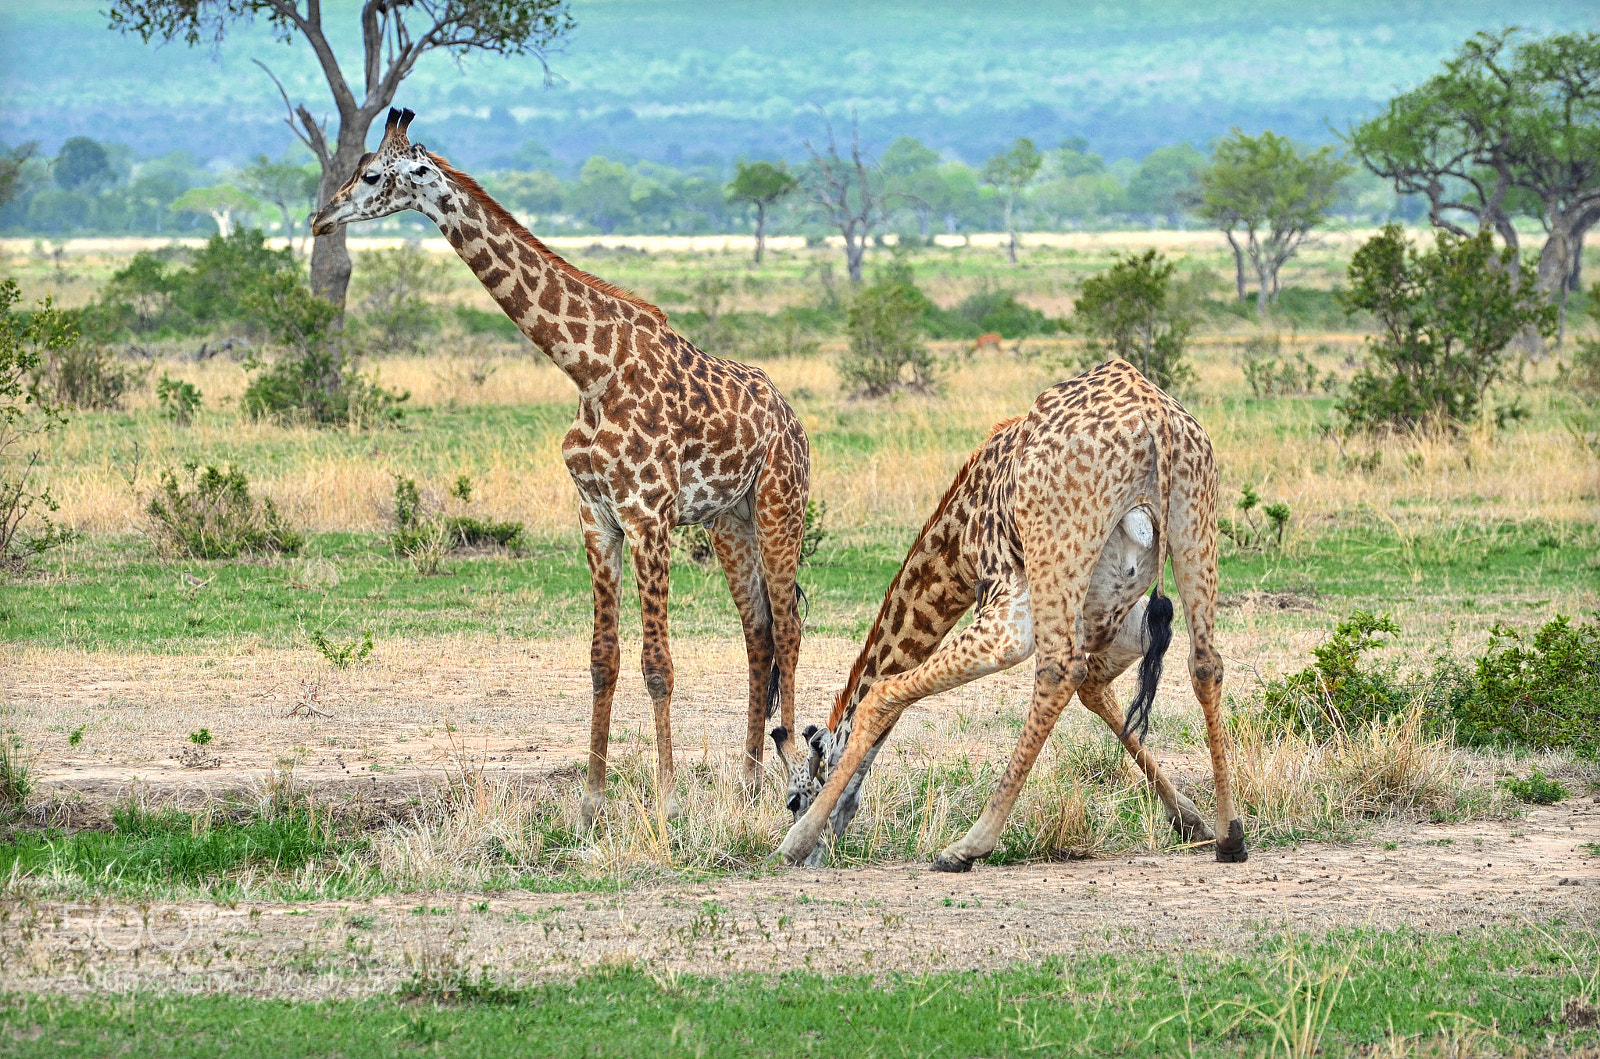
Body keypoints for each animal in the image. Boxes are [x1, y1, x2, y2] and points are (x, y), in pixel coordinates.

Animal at [312, 109, 811, 824]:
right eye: (355, 169)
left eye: (374, 174)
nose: (320, 218)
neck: (588, 369)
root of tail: (793, 420)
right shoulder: (596, 518)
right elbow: (604, 658)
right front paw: (593, 800)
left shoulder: (648, 516)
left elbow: (657, 662)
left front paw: (665, 800)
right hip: (729, 522)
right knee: (760, 632)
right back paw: (748, 784)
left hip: (779, 506)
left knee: (790, 626)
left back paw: (795, 777)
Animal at [770, 359, 1246, 870]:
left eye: (794, 799)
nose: (820, 852)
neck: (958, 543)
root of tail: (1156, 419)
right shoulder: (1115, 618)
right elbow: (1097, 690)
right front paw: (1190, 821)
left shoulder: (1008, 603)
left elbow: (880, 693)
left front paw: (796, 842)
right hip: (1195, 521)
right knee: (1205, 663)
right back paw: (1230, 835)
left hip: (1058, 552)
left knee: (1058, 670)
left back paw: (967, 845)